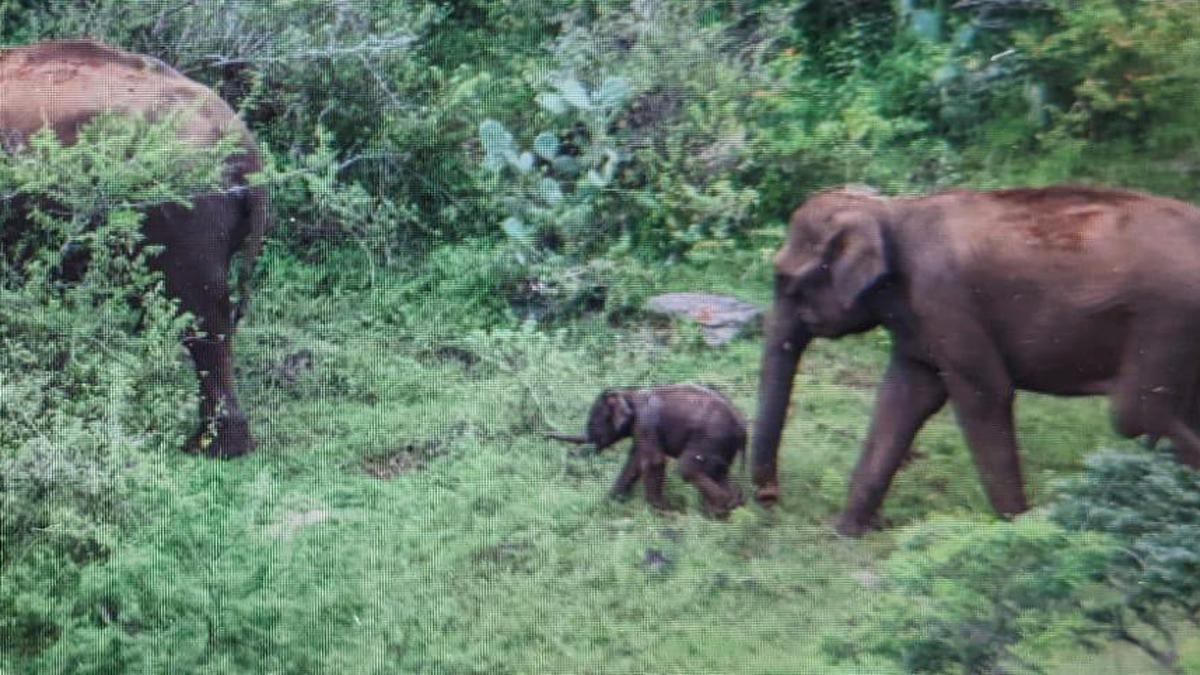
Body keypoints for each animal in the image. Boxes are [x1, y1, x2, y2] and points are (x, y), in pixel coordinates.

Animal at [549, 384, 744, 514]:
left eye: (592, 423)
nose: (545, 435)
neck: (629, 393)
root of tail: (742, 426)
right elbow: (634, 461)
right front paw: (608, 503)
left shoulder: (645, 422)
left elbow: (653, 461)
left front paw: (663, 512)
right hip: (722, 447)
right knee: (720, 473)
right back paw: (727, 511)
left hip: (710, 438)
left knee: (687, 468)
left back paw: (717, 510)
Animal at [753, 182, 1200, 530]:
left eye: (787, 281)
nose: (770, 500)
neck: (891, 211)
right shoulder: (920, 323)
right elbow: (904, 399)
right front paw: (846, 531)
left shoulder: (945, 300)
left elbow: (985, 395)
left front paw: (1017, 531)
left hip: (1166, 318)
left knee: (1134, 415)